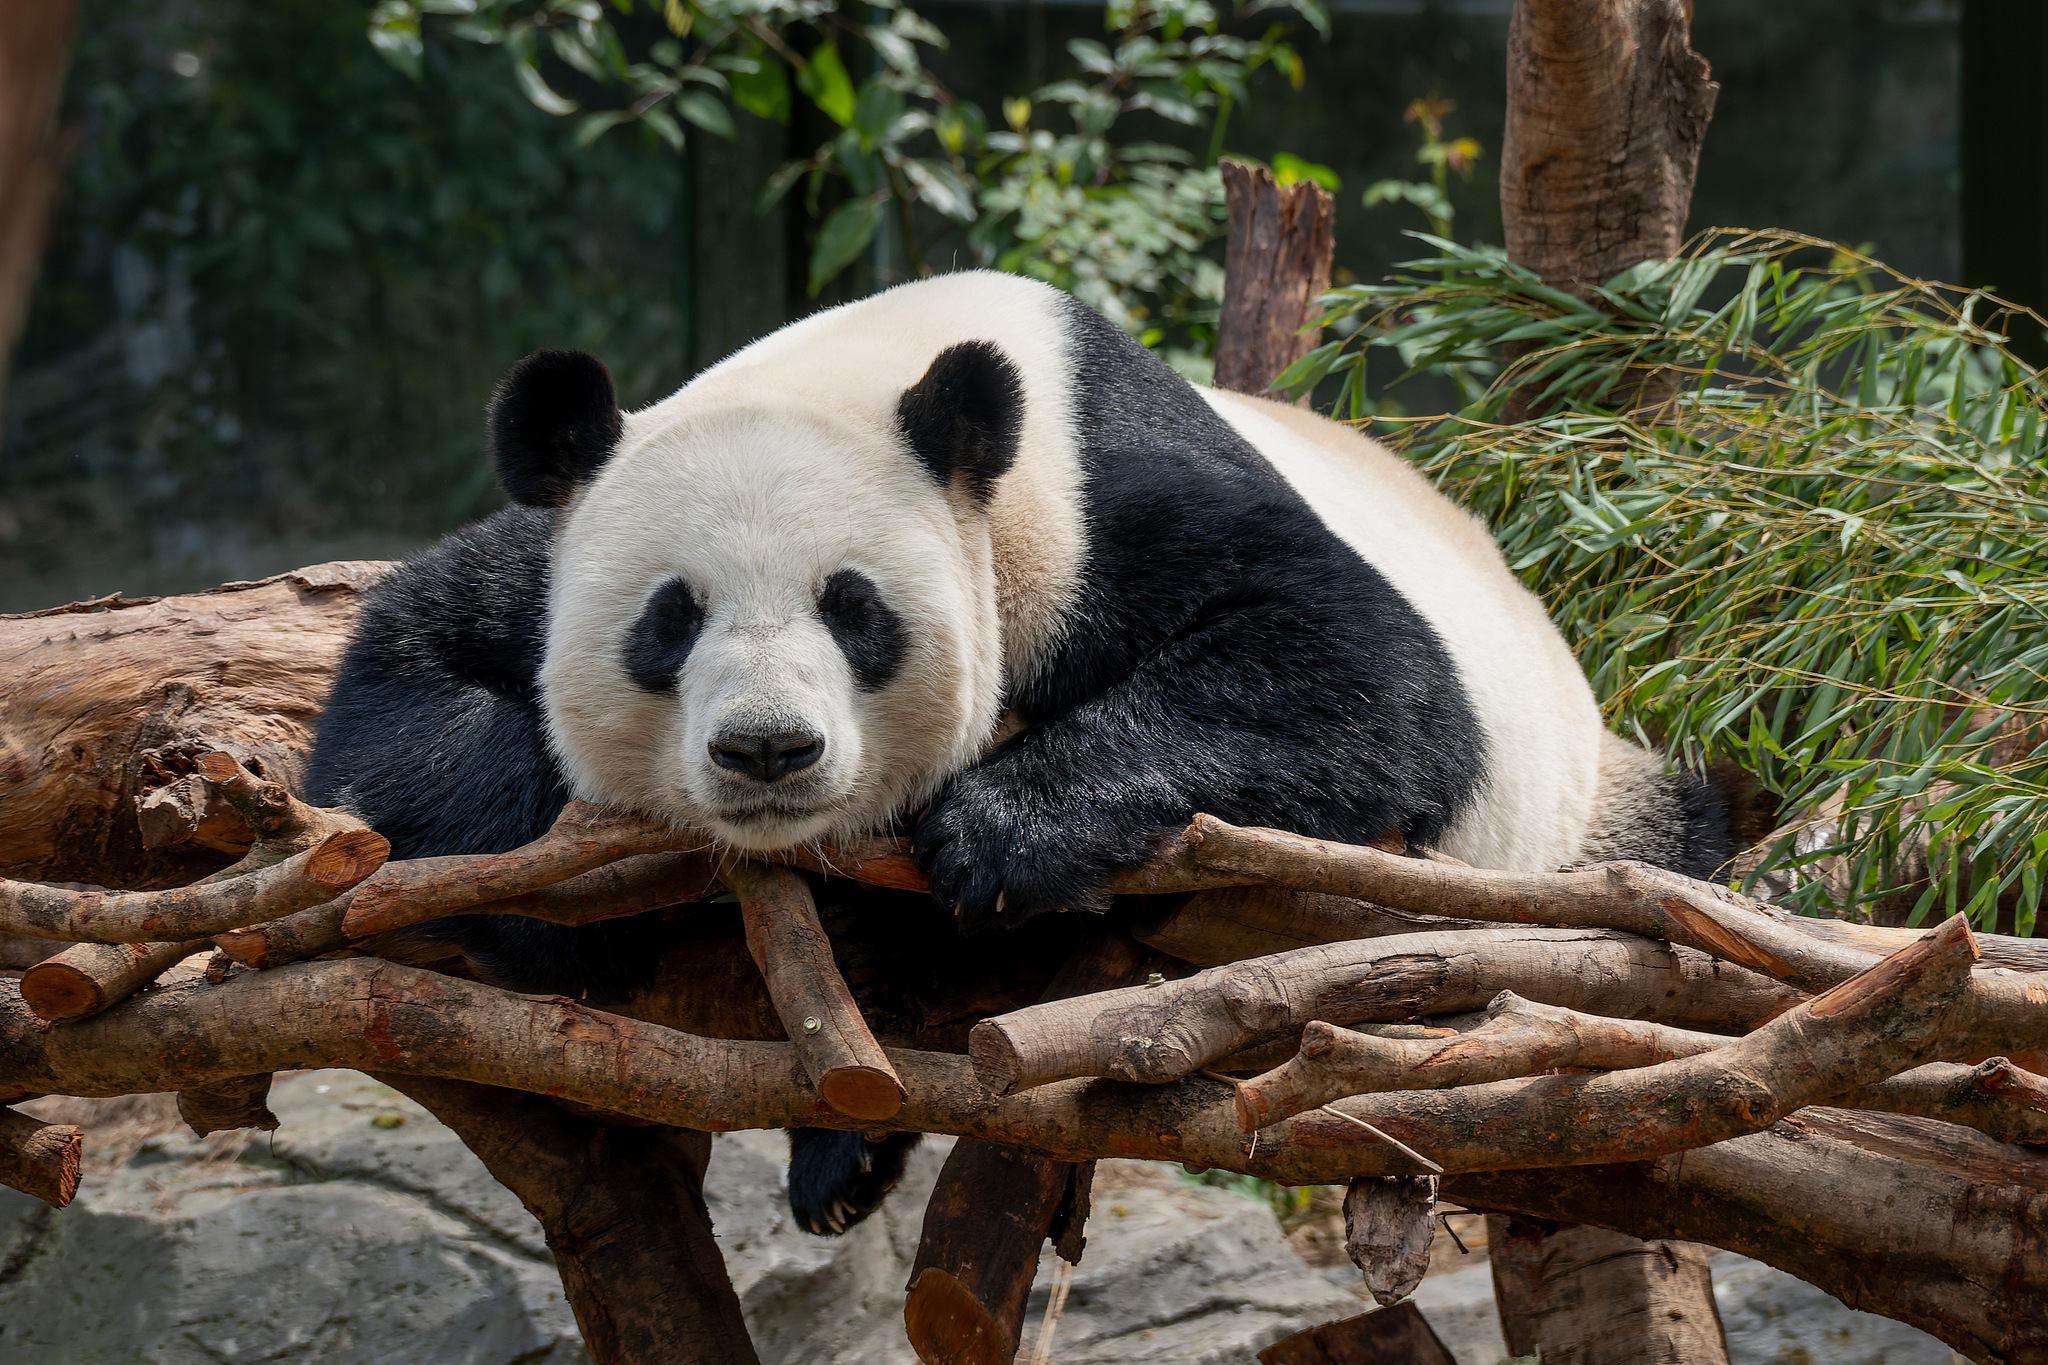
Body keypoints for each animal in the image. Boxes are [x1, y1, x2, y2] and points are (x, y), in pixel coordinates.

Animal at [307, 269, 1729, 1236]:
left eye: (854, 609)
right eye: (671, 617)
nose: (768, 751)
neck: (875, 371)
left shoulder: (1082, 507)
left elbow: (1362, 672)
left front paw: (1000, 833)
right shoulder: (545, 549)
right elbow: (395, 694)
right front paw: (569, 895)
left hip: (1587, 797)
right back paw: (840, 1158)